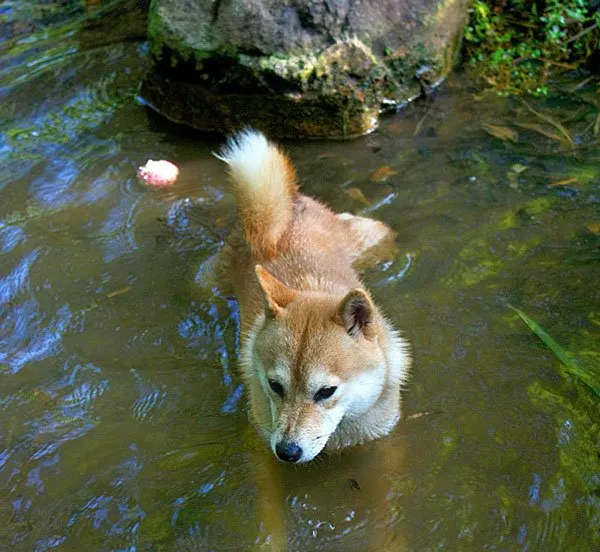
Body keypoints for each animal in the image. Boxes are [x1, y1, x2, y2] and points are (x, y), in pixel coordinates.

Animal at [213, 132, 410, 464]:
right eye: (275, 386)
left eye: (326, 391)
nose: (287, 452)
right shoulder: (261, 443)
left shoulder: (383, 440)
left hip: (376, 242)